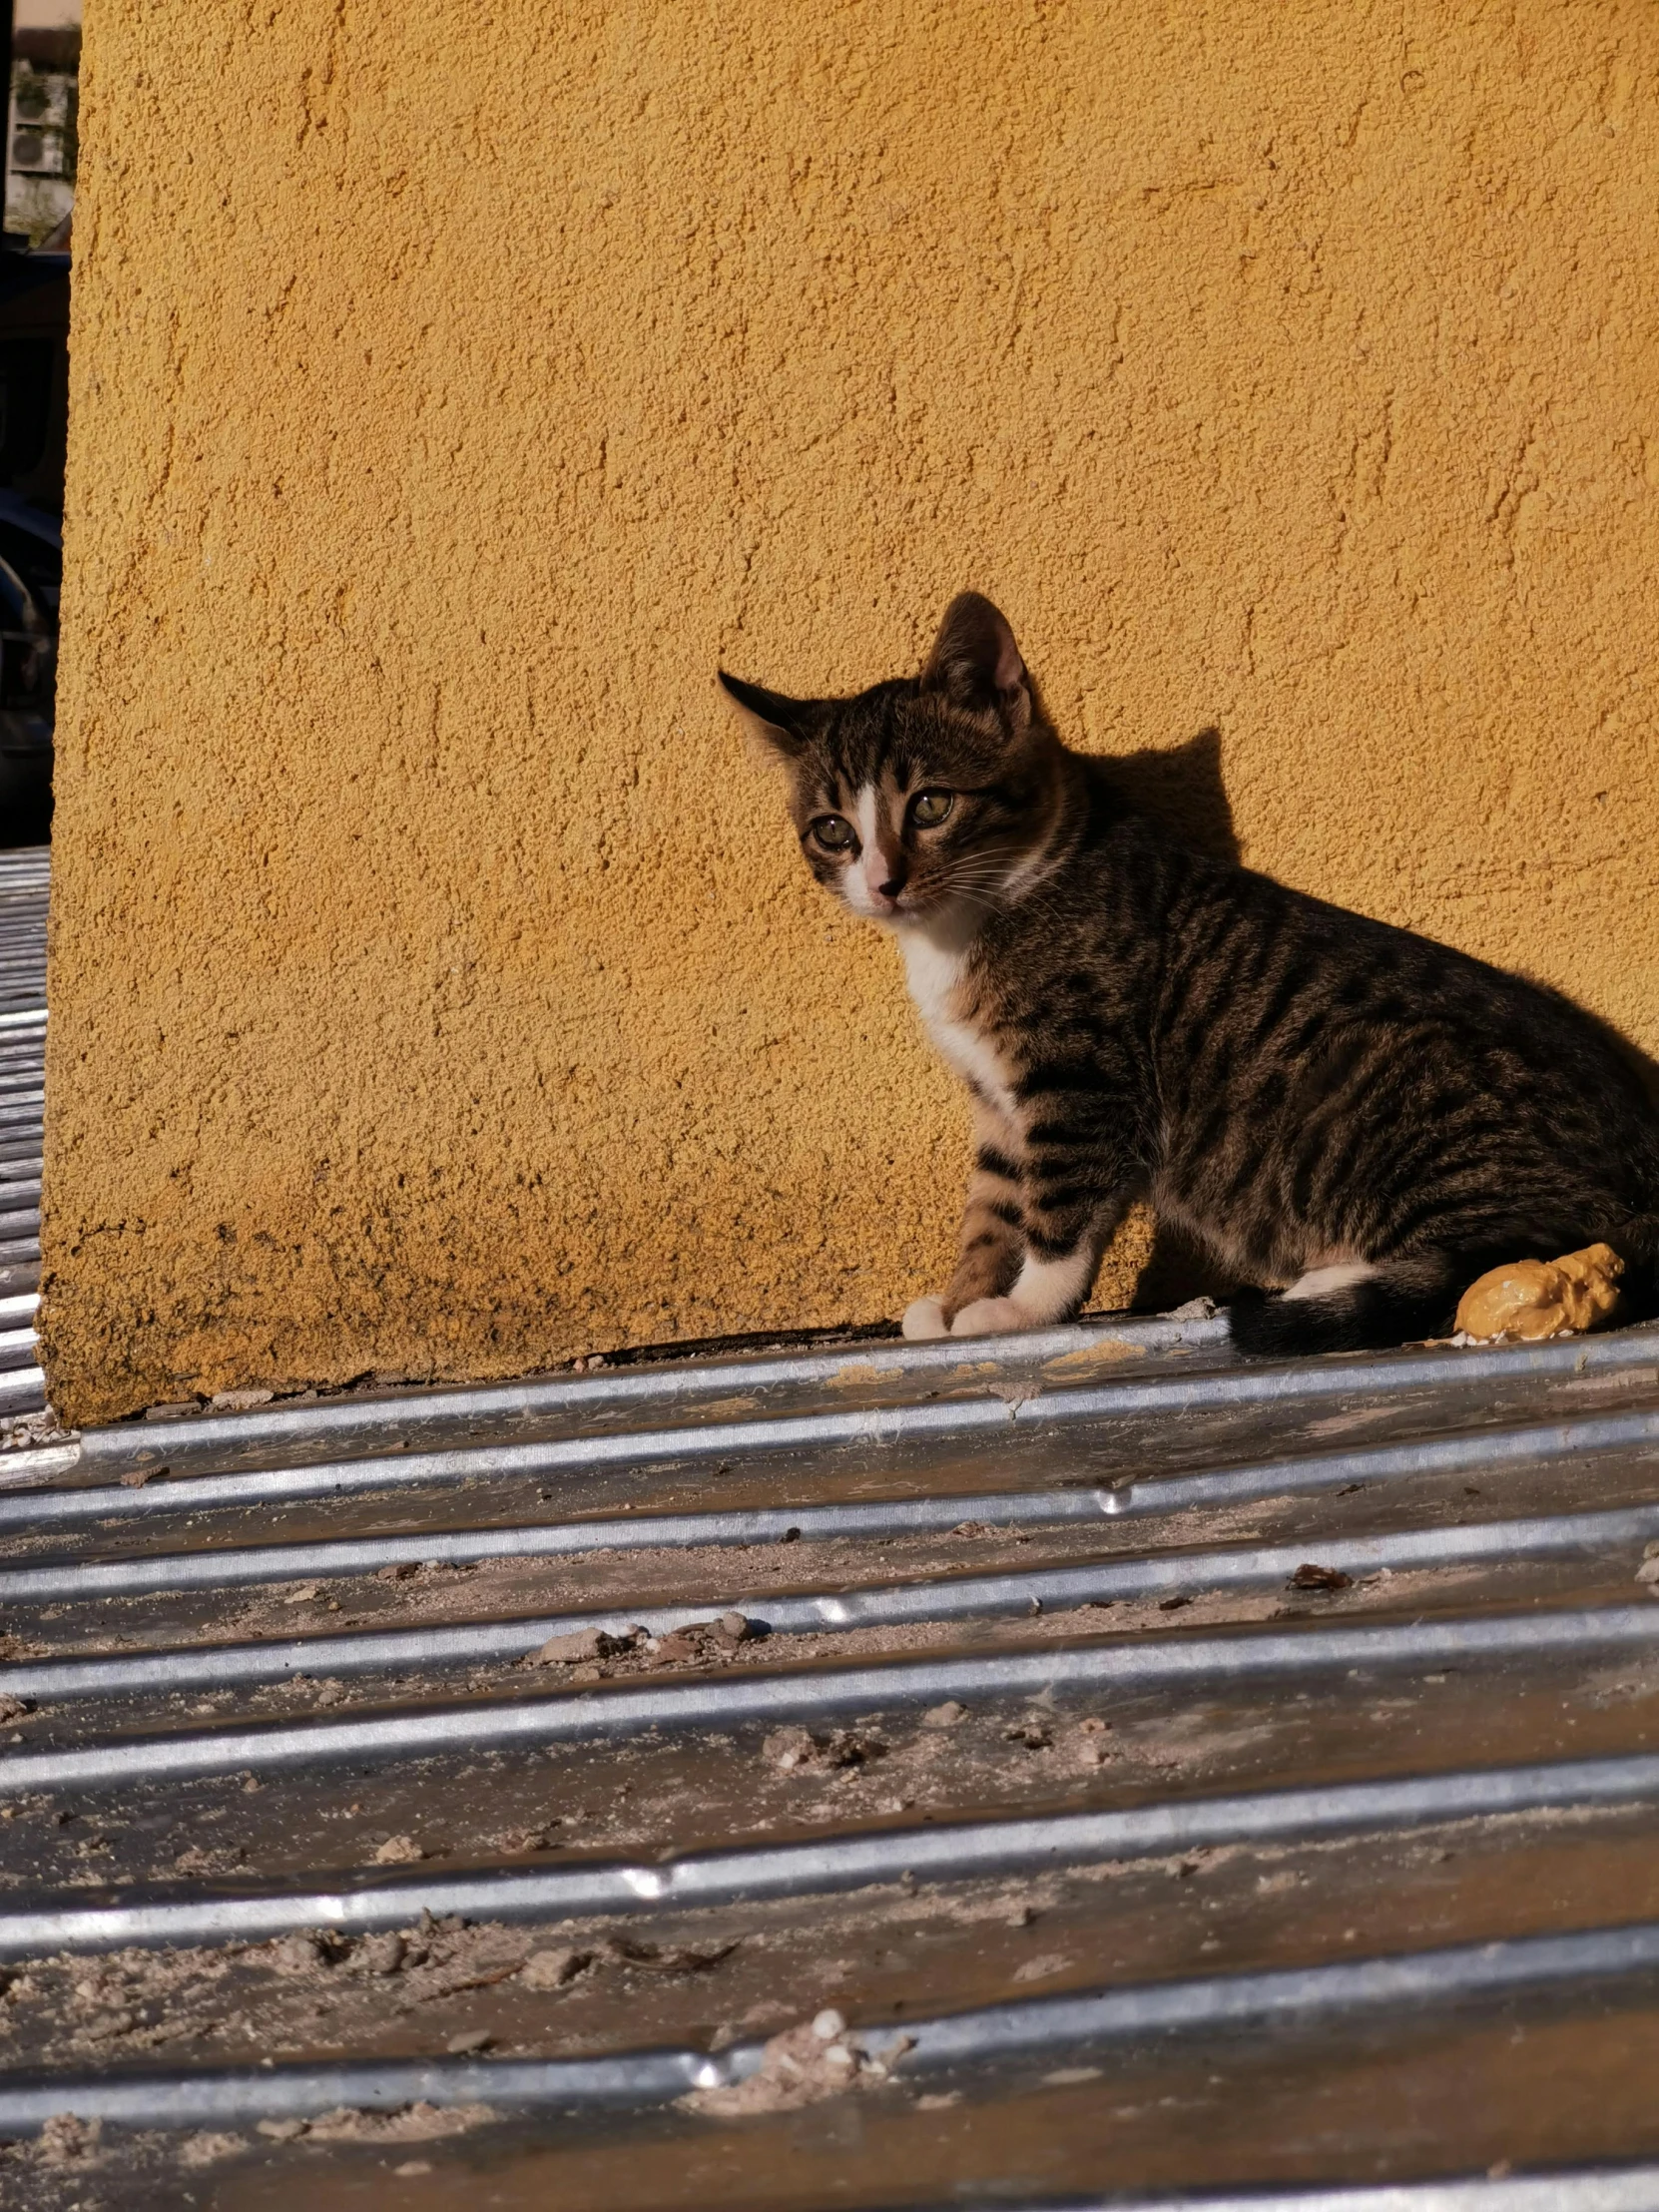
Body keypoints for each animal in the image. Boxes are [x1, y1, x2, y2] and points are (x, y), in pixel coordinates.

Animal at [721, 597, 1659, 1354]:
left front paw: (1022, 1308)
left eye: (931, 805)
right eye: (833, 831)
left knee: (1506, 1245)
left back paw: (1329, 1282)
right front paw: (961, 1298)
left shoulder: (1082, 1076)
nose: (883, 881)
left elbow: (1059, 1209)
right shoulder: (998, 1098)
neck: (970, 923)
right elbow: (992, 1205)